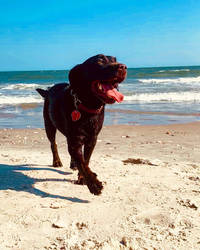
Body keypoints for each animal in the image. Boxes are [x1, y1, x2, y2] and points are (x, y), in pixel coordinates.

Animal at [36, 54, 126, 195]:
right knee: (53, 144)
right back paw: (57, 161)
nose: (123, 66)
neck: (88, 108)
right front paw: (94, 184)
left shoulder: (92, 139)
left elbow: (86, 160)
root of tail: (48, 91)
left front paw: (82, 178)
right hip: (49, 125)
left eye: (115, 59)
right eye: (99, 60)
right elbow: (82, 163)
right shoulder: (75, 140)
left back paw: (73, 164)